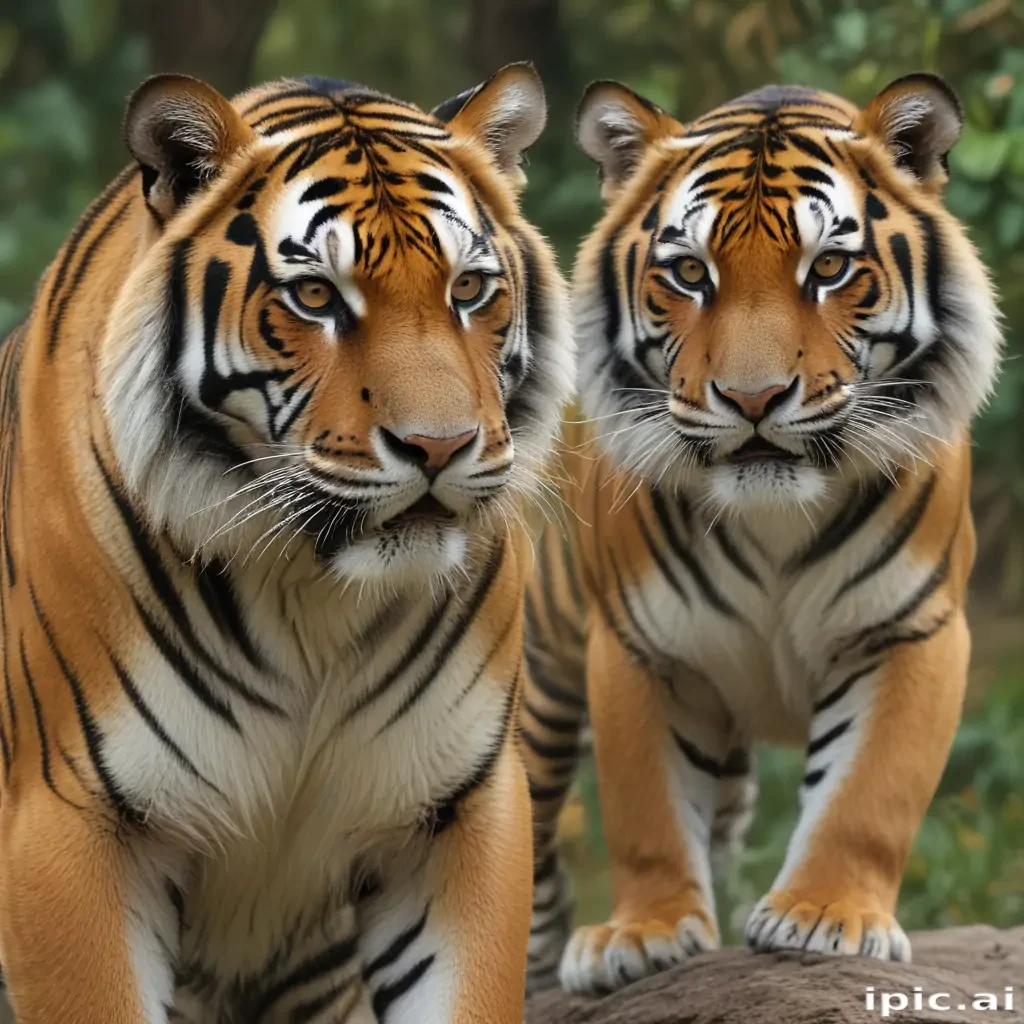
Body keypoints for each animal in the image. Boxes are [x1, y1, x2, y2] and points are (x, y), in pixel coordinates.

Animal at [0, 63, 573, 1023]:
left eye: (467, 290)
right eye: (315, 298)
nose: (440, 447)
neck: (314, 592)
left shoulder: (457, 809)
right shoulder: (71, 822)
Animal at [520, 74, 1001, 995]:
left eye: (830, 268)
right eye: (688, 273)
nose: (752, 399)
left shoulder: (909, 629)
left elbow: (867, 793)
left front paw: (826, 915)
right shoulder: (638, 647)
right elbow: (645, 808)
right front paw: (645, 932)